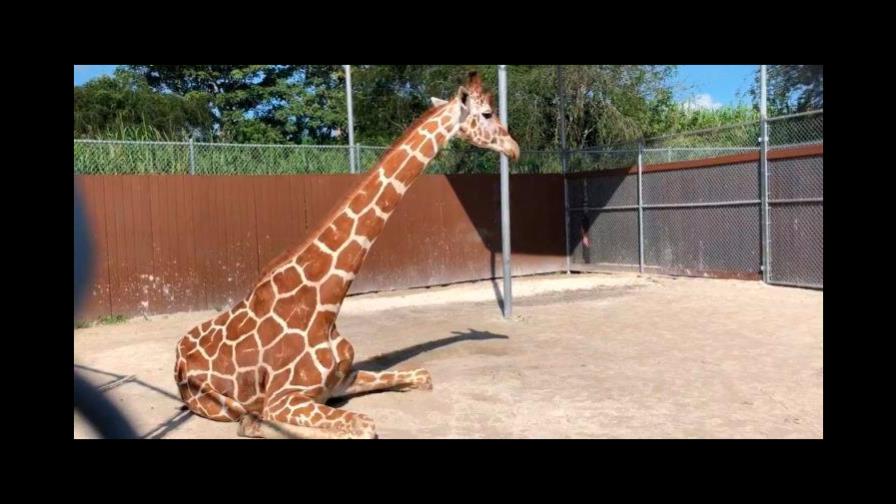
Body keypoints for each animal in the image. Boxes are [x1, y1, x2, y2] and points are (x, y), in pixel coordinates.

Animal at [174, 71, 519, 439]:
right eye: (487, 114)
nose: (514, 148)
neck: (327, 305)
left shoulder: (343, 380)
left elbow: (422, 376)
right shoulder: (284, 398)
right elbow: (362, 426)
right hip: (215, 402)